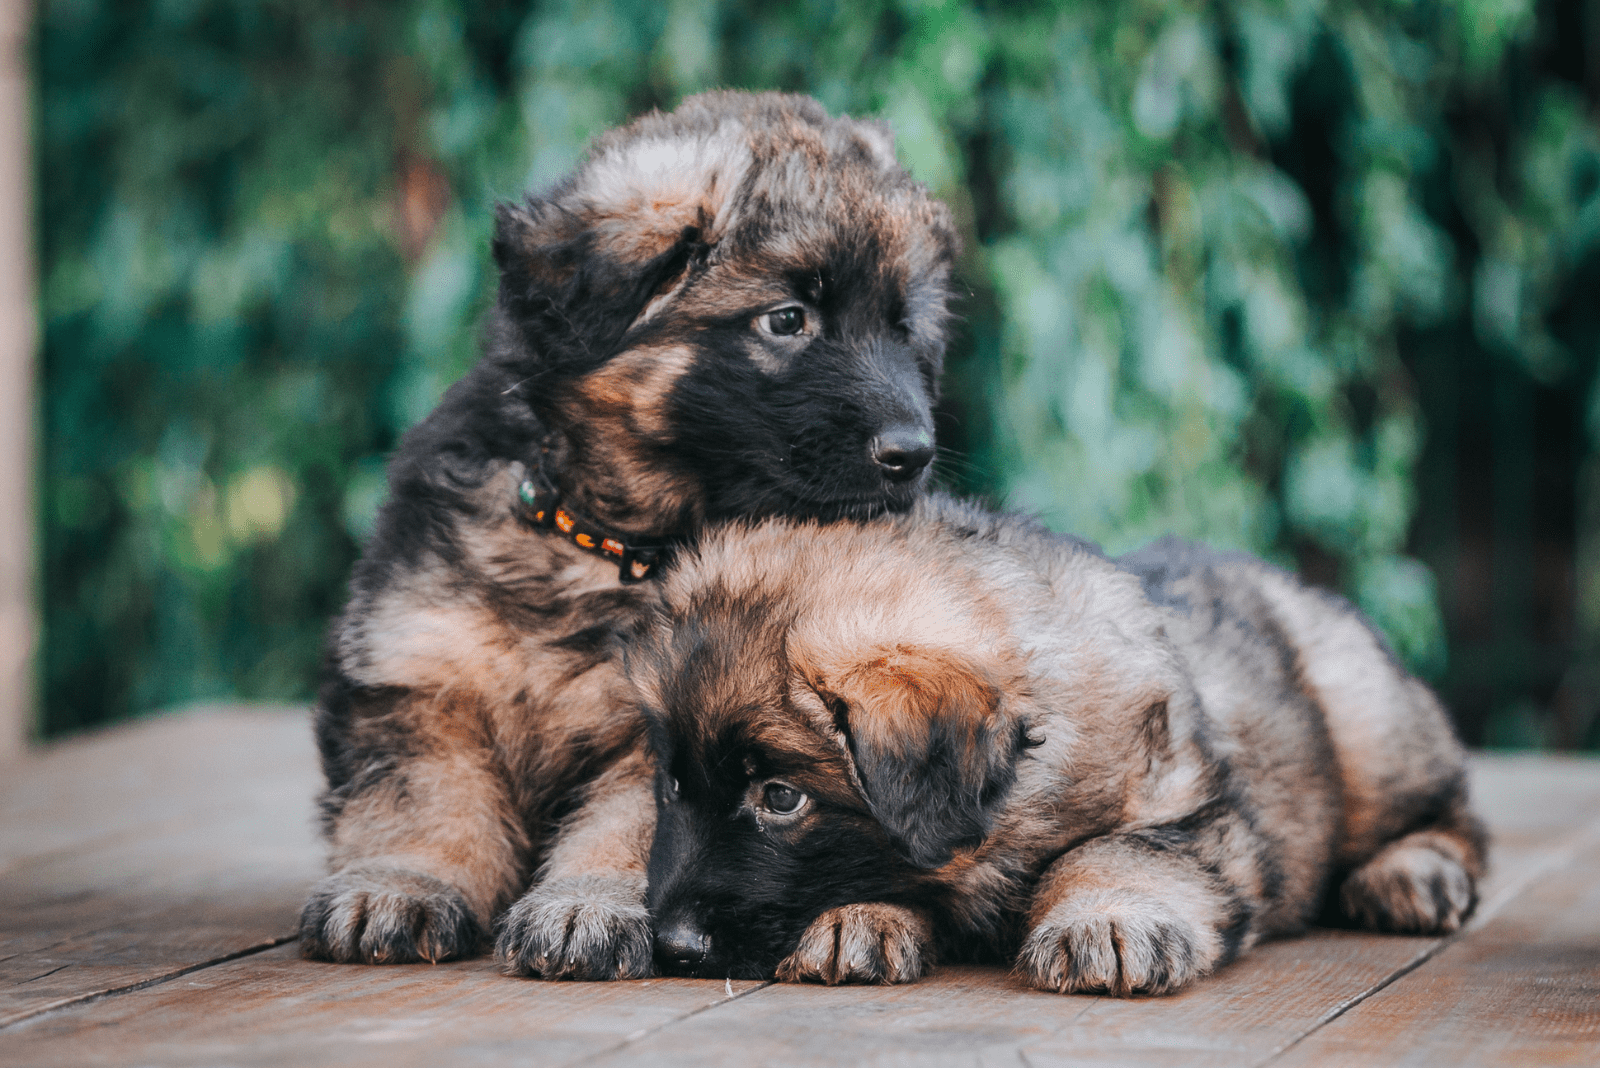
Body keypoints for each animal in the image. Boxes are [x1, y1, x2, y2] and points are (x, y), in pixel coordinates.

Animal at [299, 91, 953, 978]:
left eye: (904, 329)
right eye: (788, 319)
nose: (912, 453)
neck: (613, 547)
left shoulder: (673, 725)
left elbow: (634, 828)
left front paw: (585, 905)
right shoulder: (421, 670)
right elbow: (420, 796)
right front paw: (399, 882)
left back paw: (861, 920)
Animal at [630, 495, 1478, 997]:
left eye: (780, 796)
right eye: (671, 787)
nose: (670, 945)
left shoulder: (1205, 818)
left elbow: (1114, 850)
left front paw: (1105, 921)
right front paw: (858, 918)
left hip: (1367, 722)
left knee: (1455, 809)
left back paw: (1412, 872)